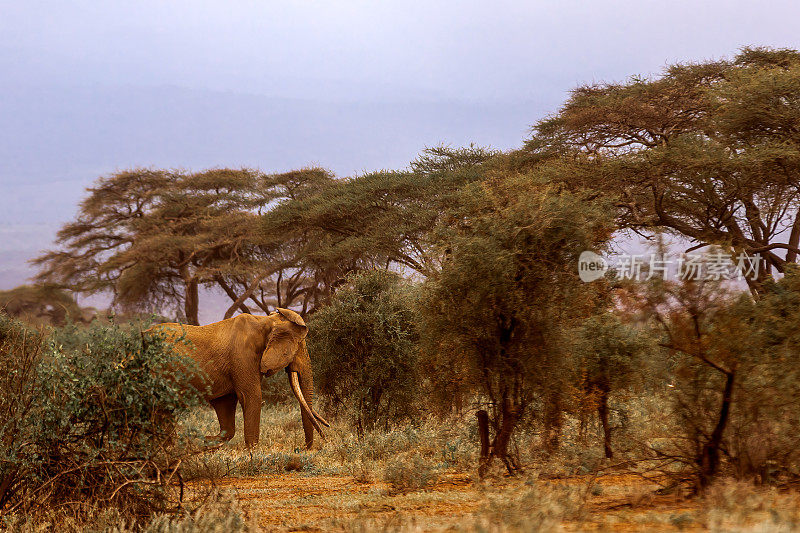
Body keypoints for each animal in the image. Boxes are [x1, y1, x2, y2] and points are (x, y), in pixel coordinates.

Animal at [148, 308, 326, 448]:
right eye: (299, 347)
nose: (306, 448)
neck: (265, 321)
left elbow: (225, 404)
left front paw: (206, 441)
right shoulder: (243, 355)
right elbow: (252, 397)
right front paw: (253, 452)